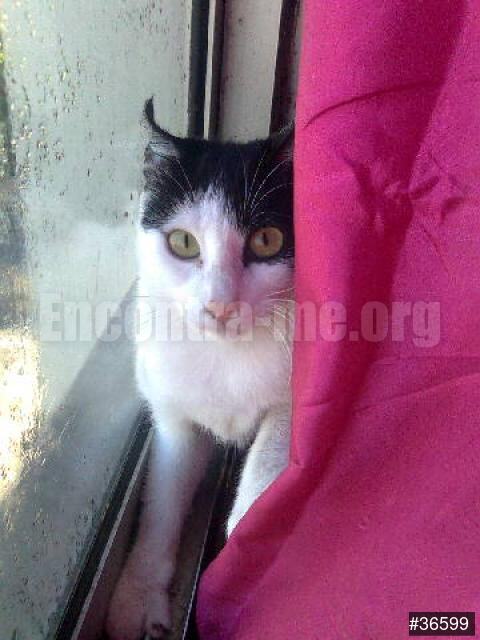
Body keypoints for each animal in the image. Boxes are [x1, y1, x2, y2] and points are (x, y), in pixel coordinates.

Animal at [106, 98, 294, 640]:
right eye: (183, 243)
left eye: (267, 239)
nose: (219, 304)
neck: (227, 353)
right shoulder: (172, 410)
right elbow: (164, 496)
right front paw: (137, 596)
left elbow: (274, 445)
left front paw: (247, 528)